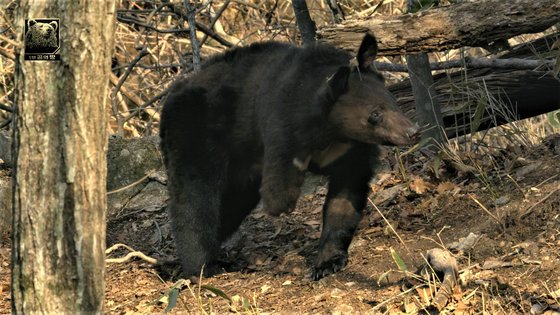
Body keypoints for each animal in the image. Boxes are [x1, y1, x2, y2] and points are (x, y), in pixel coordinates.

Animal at [160, 34, 418, 282]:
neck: (331, 132)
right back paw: (201, 267)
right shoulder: (281, 123)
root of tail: (175, 90)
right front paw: (284, 200)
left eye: (393, 102)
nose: (411, 131)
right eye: (375, 114)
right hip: (195, 131)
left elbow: (345, 196)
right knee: (195, 198)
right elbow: (279, 184)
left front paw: (327, 263)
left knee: (230, 204)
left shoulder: (351, 152)